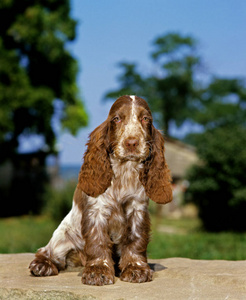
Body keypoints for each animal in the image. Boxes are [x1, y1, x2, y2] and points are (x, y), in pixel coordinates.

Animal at [28, 95, 172, 284]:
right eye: (116, 119)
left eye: (145, 119)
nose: (132, 143)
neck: (124, 171)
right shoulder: (96, 210)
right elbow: (98, 241)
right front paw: (98, 271)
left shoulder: (137, 209)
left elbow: (136, 240)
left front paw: (136, 268)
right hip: (62, 236)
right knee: (47, 251)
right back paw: (42, 265)